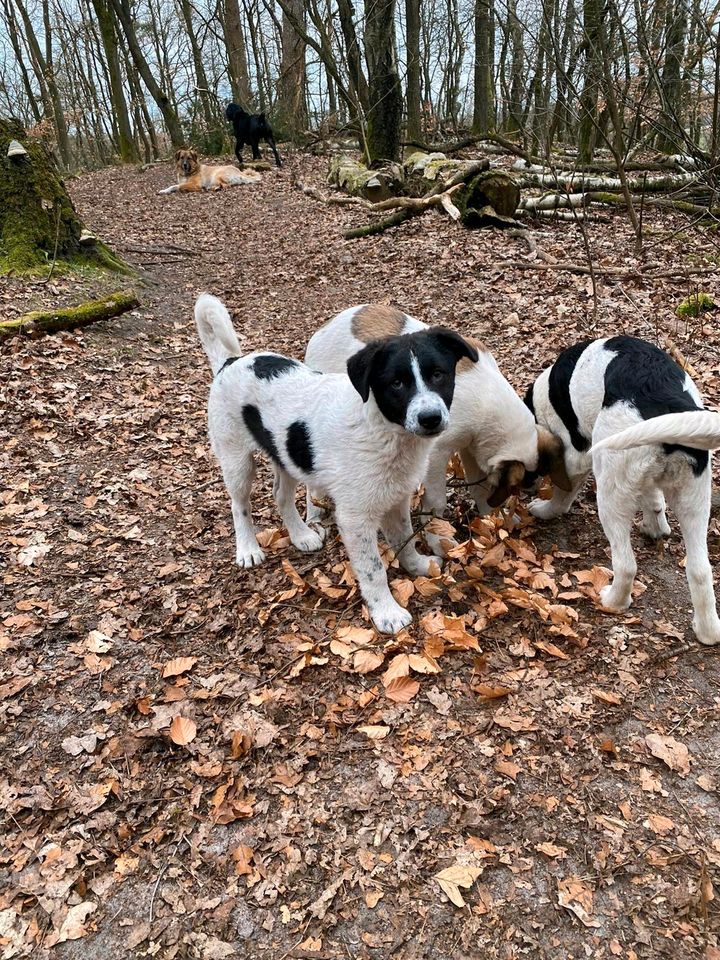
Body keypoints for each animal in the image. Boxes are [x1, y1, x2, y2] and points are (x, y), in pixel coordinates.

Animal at [194, 292, 476, 636]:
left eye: (438, 374)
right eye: (396, 383)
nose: (430, 418)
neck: (381, 429)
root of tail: (230, 363)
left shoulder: (396, 499)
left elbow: (405, 539)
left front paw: (417, 565)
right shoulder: (355, 518)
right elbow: (373, 568)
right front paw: (387, 612)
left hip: (286, 456)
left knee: (281, 496)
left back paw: (301, 535)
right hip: (236, 458)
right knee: (239, 505)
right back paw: (248, 549)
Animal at [300, 304, 564, 552]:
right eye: (525, 479)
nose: (535, 487)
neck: (486, 399)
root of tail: (321, 330)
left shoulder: (470, 448)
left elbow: (479, 487)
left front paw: (490, 519)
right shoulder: (437, 454)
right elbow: (437, 502)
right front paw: (439, 539)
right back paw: (314, 517)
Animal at [524, 336, 720, 644]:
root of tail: (668, 401)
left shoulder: (576, 457)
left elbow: (562, 494)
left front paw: (545, 509)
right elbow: (654, 501)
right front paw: (655, 528)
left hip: (610, 492)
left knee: (626, 565)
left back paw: (613, 601)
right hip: (695, 499)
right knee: (700, 570)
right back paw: (708, 632)